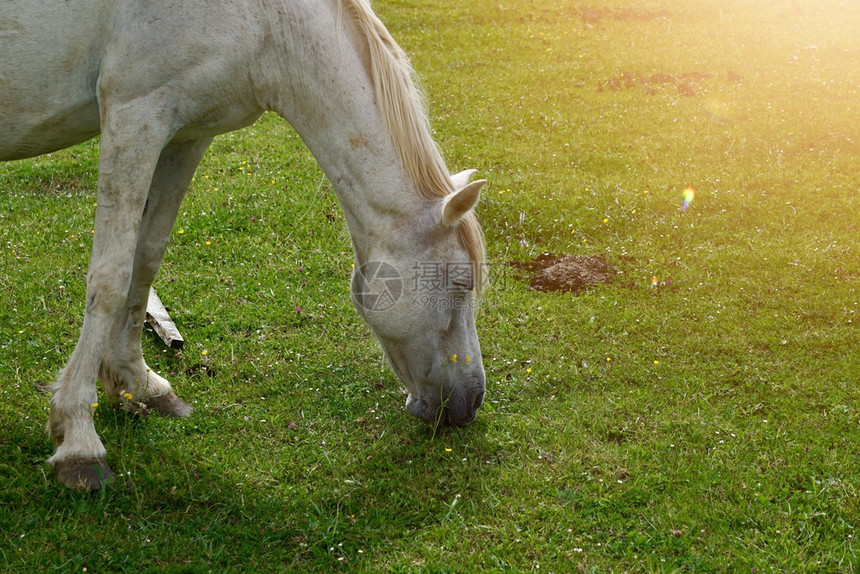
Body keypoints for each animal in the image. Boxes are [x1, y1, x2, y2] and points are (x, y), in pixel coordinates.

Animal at [0, 0, 484, 490]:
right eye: (462, 283)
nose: (471, 401)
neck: (266, 22)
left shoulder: (185, 133)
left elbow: (146, 258)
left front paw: (139, 384)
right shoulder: (135, 116)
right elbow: (111, 279)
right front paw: (79, 440)